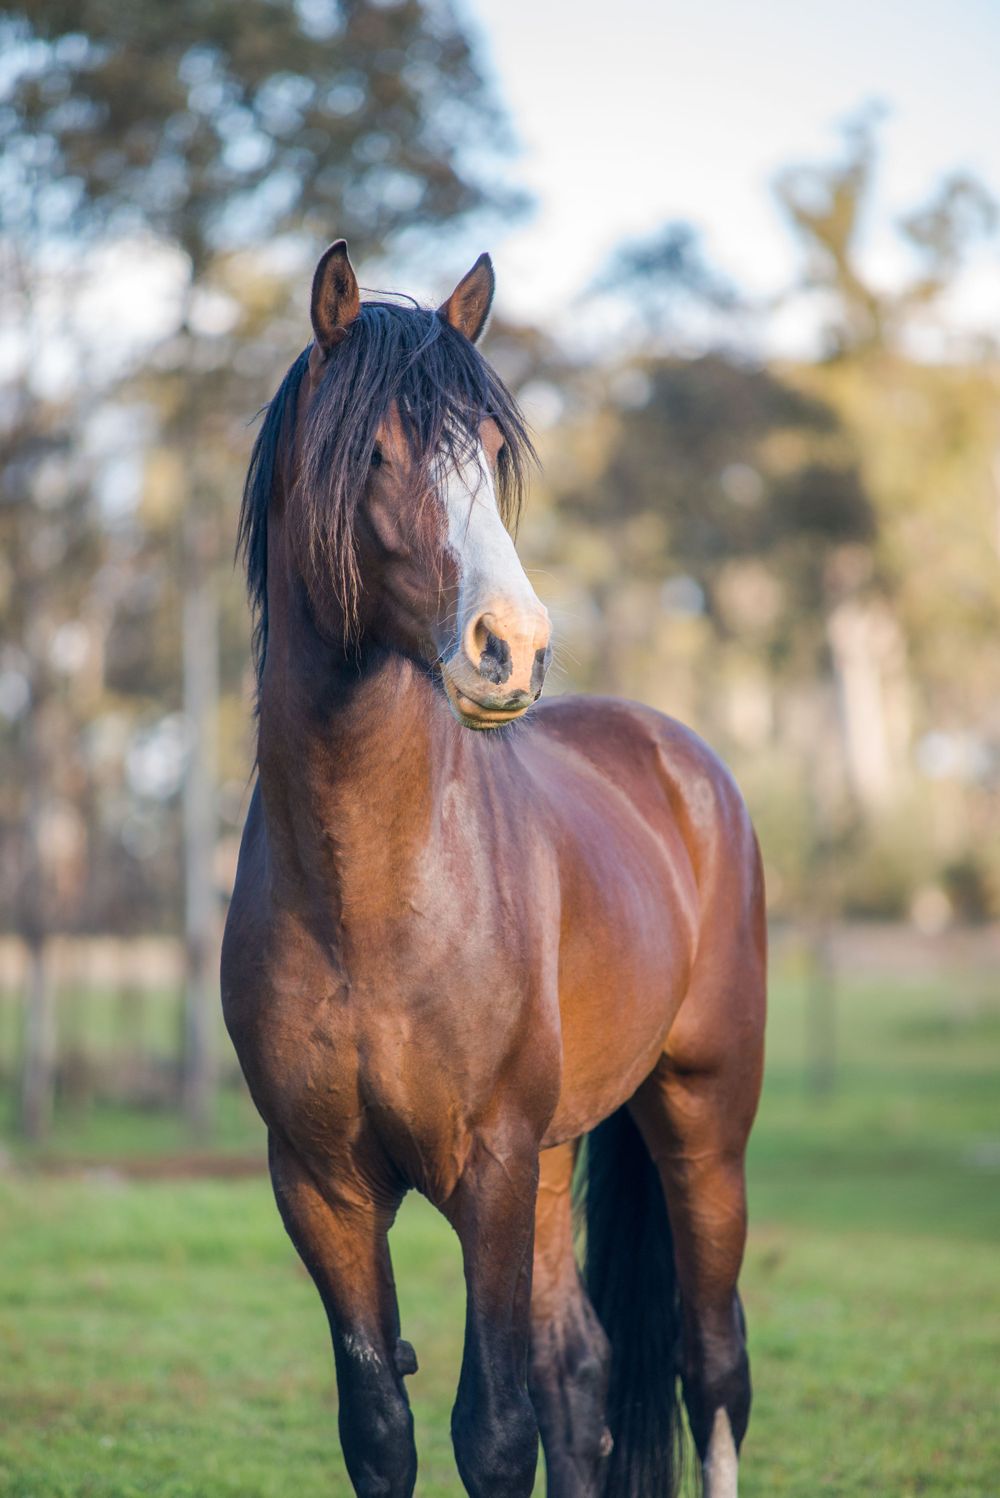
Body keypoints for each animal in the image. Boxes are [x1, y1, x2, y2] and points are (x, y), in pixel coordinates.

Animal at [221, 240, 766, 1498]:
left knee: (711, 1370)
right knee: (585, 1377)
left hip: (703, 1124)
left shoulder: (491, 1170)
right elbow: (383, 1430)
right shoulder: (320, 1187)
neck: (372, 895)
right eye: (371, 449)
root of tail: (683, 762)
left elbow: (495, 1431)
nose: (511, 645)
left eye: (488, 449)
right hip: (565, 1158)